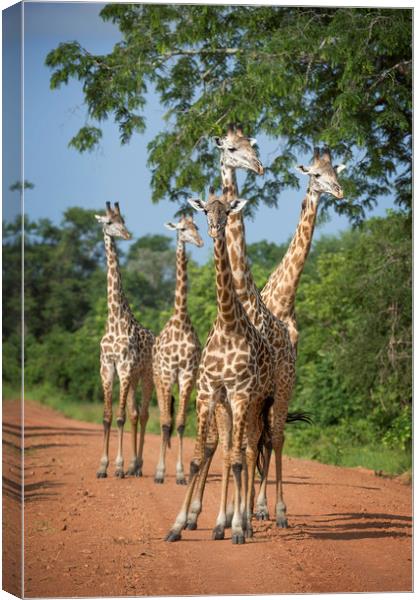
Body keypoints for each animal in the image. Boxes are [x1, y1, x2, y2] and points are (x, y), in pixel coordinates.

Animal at [166, 189, 278, 544]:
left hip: (257, 403)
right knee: (232, 450)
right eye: (205, 211)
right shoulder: (208, 392)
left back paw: (245, 522)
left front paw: (239, 528)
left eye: (228, 211)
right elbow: (198, 458)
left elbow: (240, 460)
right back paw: (220, 523)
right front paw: (177, 526)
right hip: (228, 405)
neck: (228, 323)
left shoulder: (241, 394)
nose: (215, 229)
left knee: (248, 451)